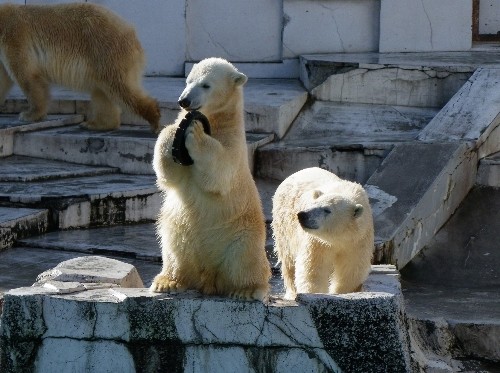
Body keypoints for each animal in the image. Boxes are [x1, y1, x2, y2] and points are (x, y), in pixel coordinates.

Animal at [0, 2, 160, 133]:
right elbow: (4, 79)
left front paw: (29, 114)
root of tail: (133, 36)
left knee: (121, 89)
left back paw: (155, 120)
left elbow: (27, 76)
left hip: (107, 52)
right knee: (102, 92)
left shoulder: (14, 36)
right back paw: (95, 124)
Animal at [150, 58, 272, 302]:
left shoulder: (235, 146)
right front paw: (172, 130)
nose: (184, 101)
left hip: (242, 234)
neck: (216, 121)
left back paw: (247, 290)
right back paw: (167, 282)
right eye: (188, 81)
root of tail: (210, 278)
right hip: (178, 229)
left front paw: (195, 133)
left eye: (206, 85)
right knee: (174, 250)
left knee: (246, 261)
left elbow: (219, 170)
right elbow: (169, 175)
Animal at [272, 167, 374, 298]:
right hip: (284, 224)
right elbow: (313, 268)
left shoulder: (358, 240)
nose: (303, 215)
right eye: (313, 203)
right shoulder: (317, 242)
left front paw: (340, 292)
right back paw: (292, 293)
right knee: (288, 259)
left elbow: (351, 269)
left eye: (327, 210)